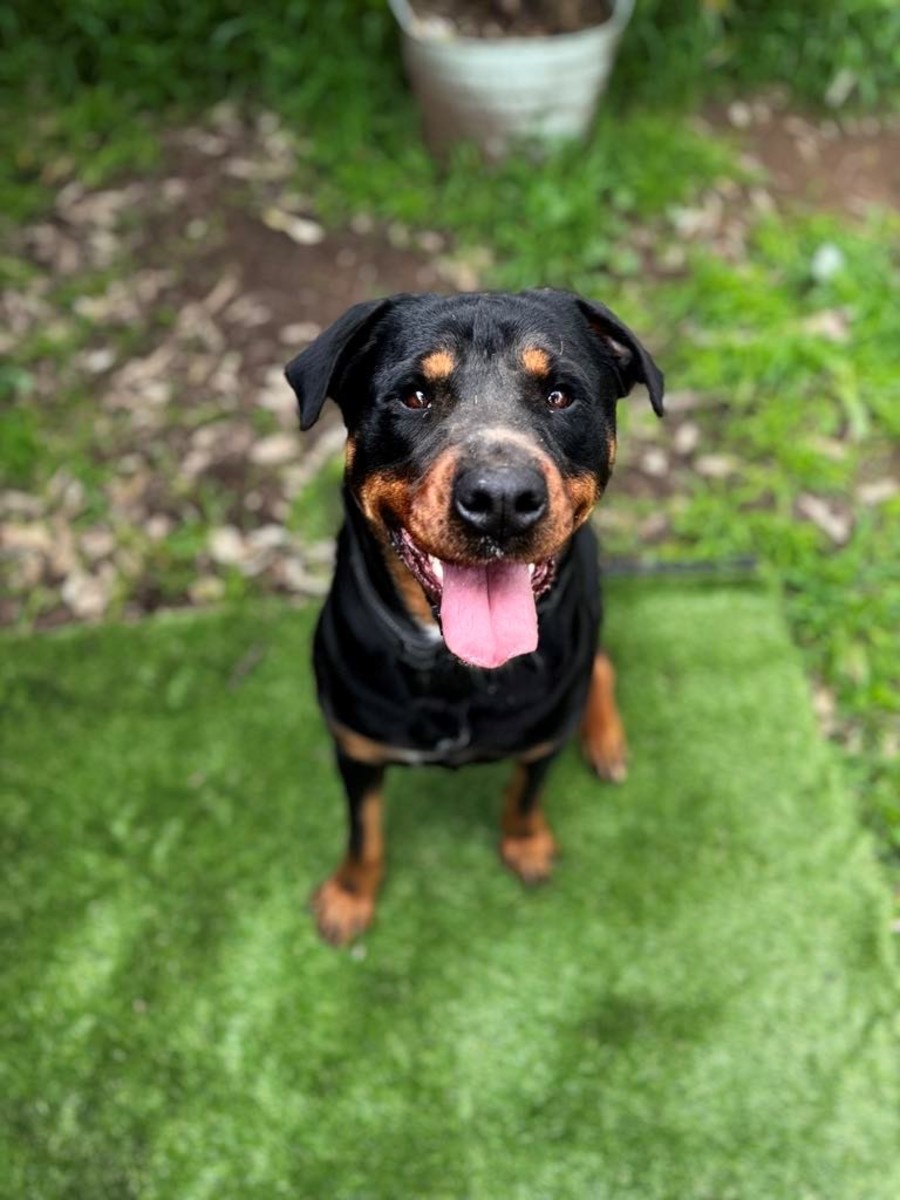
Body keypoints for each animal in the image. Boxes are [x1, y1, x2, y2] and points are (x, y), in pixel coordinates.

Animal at [284, 289, 664, 945]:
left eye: (560, 395)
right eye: (414, 395)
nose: (502, 500)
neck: (453, 668)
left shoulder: (542, 742)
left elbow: (524, 795)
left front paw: (526, 844)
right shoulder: (356, 750)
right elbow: (364, 830)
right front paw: (350, 895)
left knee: (601, 665)